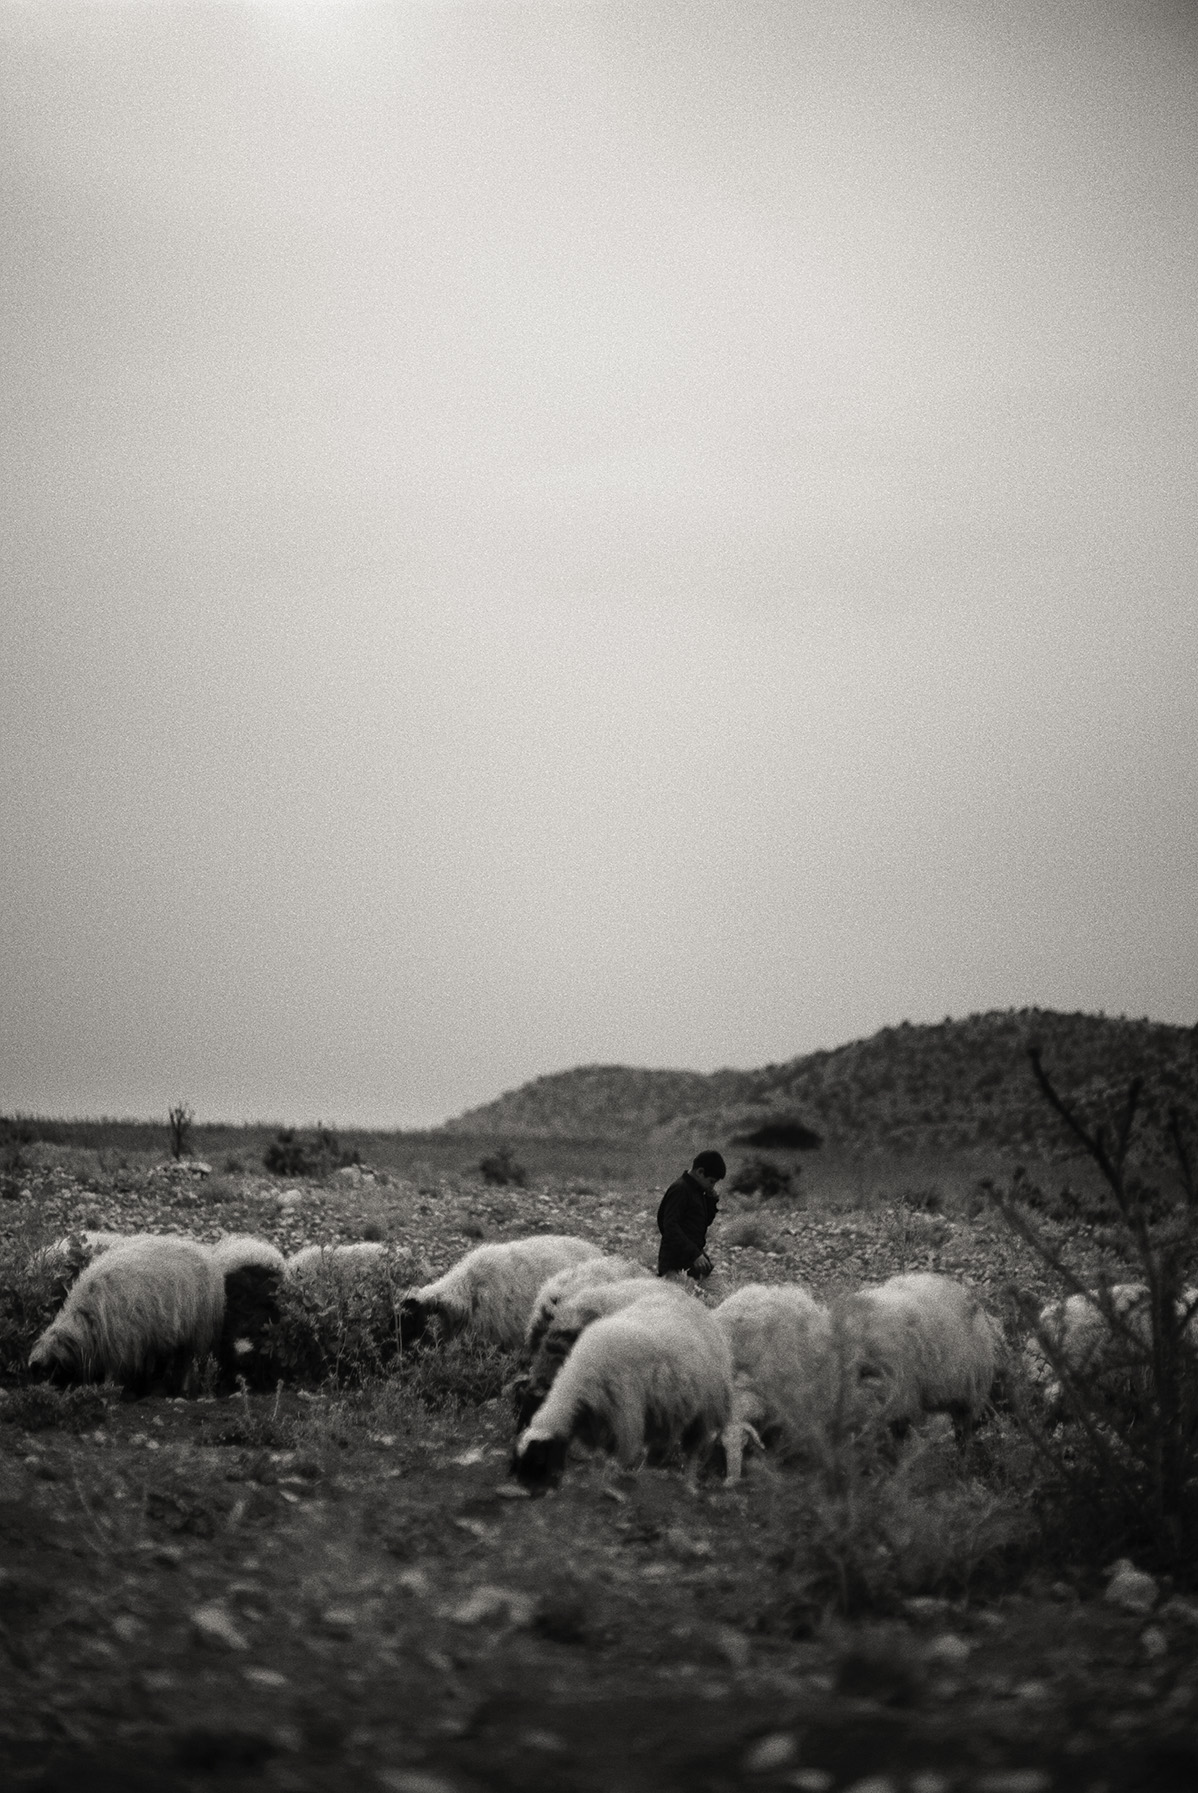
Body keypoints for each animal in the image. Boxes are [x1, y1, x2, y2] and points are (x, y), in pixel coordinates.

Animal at [27, 1240, 224, 1391]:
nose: (43, 1392)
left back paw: (181, 1389)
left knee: (185, 1363)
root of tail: (204, 1253)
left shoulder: (122, 1343)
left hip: (196, 1329)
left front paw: (108, 1390)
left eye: (45, 1372)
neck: (85, 1318)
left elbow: (115, 1372)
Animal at [509, 1283, 731, 1491]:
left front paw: (608, 1475)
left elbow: (618, 1450)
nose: (527, 1488)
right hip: (669, 1406)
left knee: (694, 1446)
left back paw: (688, 1481)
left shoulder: (624, 1414)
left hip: (705, 1407)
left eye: (538, 1459)